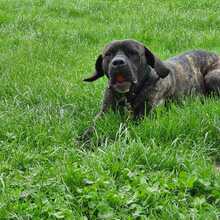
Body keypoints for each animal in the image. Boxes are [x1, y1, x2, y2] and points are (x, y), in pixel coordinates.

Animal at [81, 39, 220, 141]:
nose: (118, 62)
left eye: (133, 53)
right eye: (108, 54)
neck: (129, 96)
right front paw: (85, 138)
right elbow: (92, 126)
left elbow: (121, 128)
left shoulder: (142, 117)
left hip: (211, 77)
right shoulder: (104, 112)